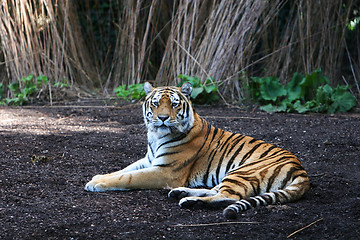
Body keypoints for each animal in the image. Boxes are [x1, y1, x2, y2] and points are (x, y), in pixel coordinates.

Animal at [85, 82, 310, 219]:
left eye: (174, 104)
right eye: (156, 103)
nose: (162, 118)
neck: (156, 137)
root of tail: (301, 170)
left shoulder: (165, 171)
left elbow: (129, 177)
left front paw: (97, 183)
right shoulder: (149, 160)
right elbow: (123, 170)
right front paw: (98, 177)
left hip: (244, 170)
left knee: (230, 197)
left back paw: (189, 201)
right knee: (218, 189)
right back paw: (181, 193)